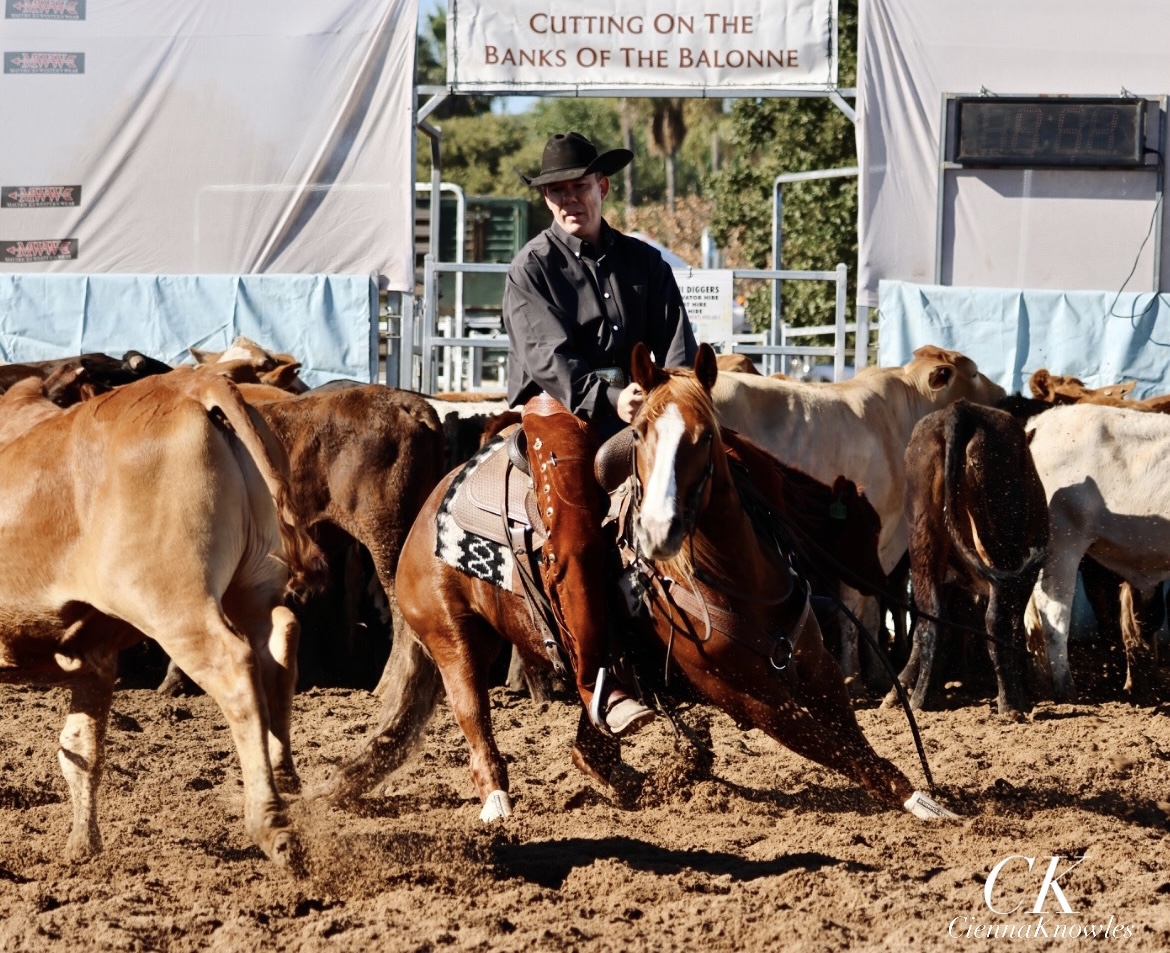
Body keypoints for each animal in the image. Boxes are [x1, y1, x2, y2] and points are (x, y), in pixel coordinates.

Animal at [0, 369, 323, 867]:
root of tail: (193, 384)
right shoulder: (92, 657)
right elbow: (80, 750)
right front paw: (83, 846)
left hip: (173, 602)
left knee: (236, 668)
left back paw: (270, 823)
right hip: (251, 586)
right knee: (279, 640)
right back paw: (284, 773)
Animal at [309, 343, 956, 822]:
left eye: (706, 436)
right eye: (641, 432)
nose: (659, 530)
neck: (737, 578)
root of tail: (435, 500)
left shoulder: (813, 667)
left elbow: (851, 738)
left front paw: (923, 796)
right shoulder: (743, 694)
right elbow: (827, 745)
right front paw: (922, 803)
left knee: (586, 731)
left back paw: (628, 772)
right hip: (453, 637)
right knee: (475, 716)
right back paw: (498, 803)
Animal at [709, 345, 1006, 686]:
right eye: (973, 372)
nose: (1002, 393)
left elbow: (873, 608)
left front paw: (875, 671)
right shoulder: (864, 539)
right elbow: (855, 606)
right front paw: (853, 673)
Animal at [887, 400, 1048, 717]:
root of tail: (959, 411)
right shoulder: (1025, 577)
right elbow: (1014, 626)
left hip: (924, 541)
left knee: (930, 617)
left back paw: (921, 699)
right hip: (999, 547)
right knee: (996, 621)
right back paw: (1010, 703)